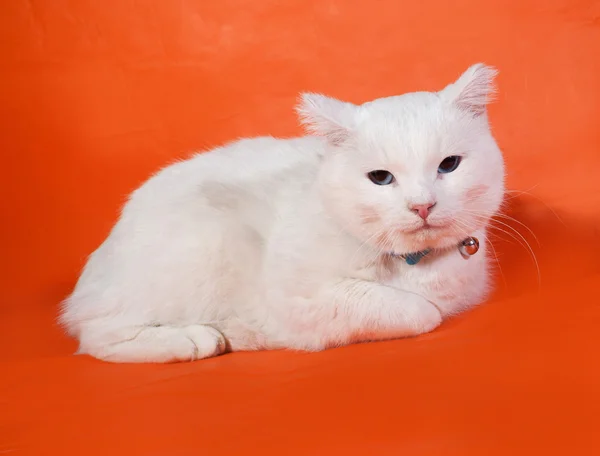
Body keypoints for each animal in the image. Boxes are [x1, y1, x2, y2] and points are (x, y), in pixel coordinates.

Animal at [58, 64, 504, 364]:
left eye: (449, 165)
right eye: (380, 177)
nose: (422, 205)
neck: (417, 266)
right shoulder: (297, 297)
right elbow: (419, 312)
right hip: (201, 242)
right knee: (99, 333)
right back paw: (201, 339)